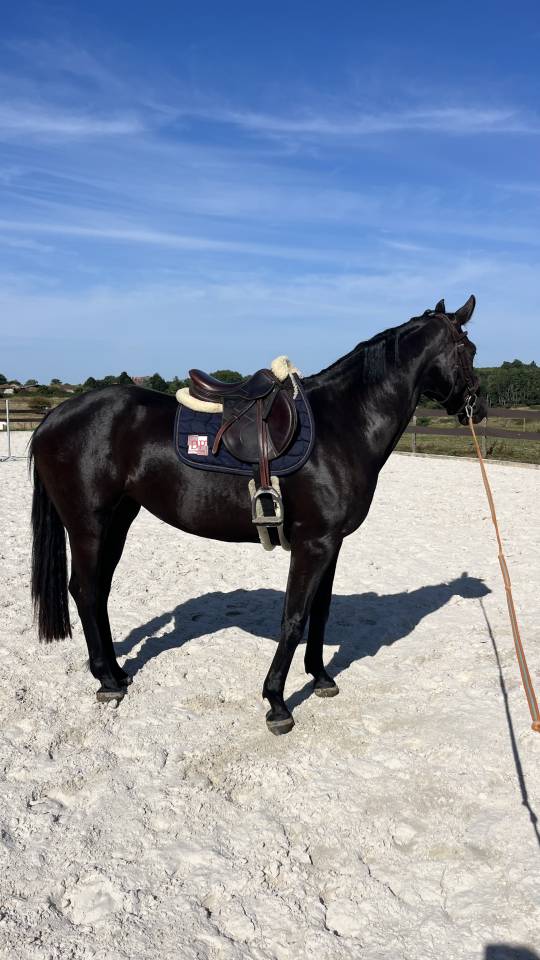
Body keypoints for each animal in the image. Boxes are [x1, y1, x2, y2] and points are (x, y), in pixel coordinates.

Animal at [30, 295, 486, 735]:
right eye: (470, 350)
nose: (478, 409)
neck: (344, 423)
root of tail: (55, 416)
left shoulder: (331, 543)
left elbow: (320, 611)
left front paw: (320, 677)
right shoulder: (313, 544)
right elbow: (294, 617)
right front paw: (277, 702)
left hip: (118, 521)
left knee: (99, 592)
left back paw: (117, 672)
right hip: (88, 526)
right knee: (86, 591)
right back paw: (106, 680)